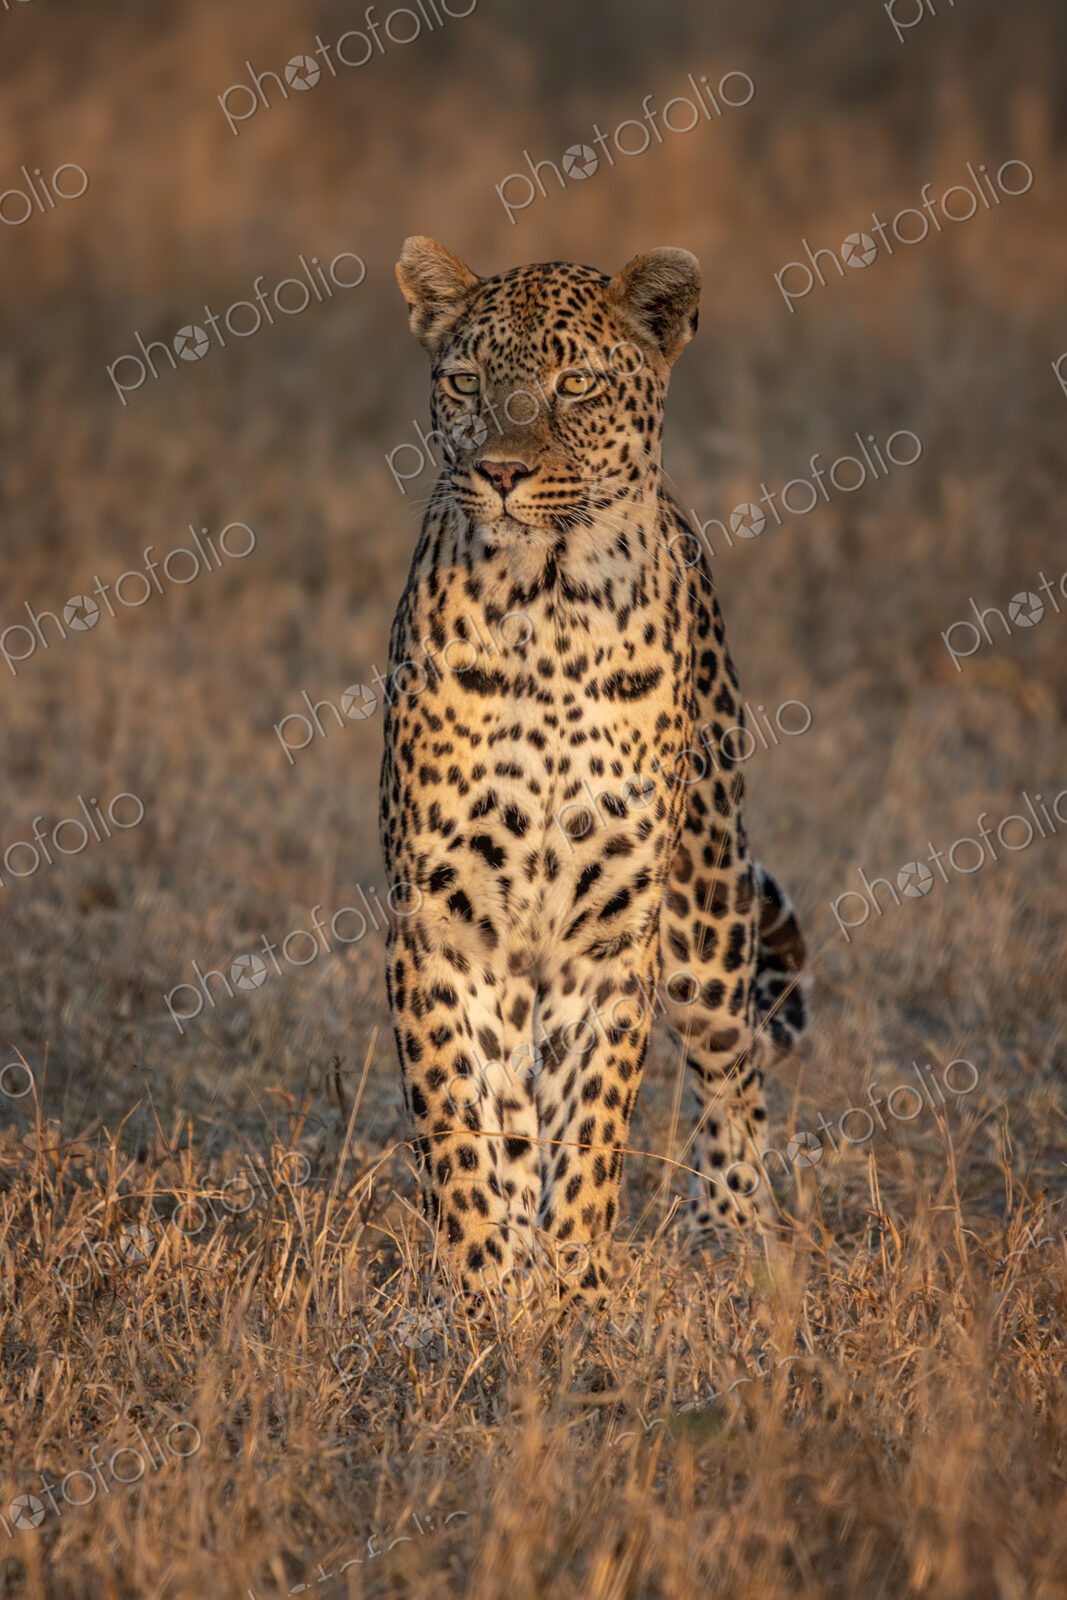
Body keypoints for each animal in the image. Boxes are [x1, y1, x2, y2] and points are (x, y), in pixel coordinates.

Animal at [379, 237, 809, 1306]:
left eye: (575, 385)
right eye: (464, 381)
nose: (498, 471)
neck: (549, 610)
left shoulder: (610, 936)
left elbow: (592, 1132)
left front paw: (572, 1291)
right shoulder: (443, 922)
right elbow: (464, 1123)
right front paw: (489, 1295)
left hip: (706, 908)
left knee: (732, 1068)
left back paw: (735, 1235)